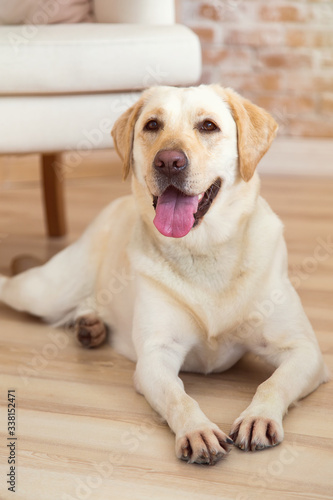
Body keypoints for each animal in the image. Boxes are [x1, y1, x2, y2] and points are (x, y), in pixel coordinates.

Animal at [0, 86, 326, 464]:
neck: (205, 251)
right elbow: (178, 396)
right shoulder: (156, 357)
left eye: (208, 125)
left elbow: (273, 382)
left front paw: (258, 417)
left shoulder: (304, 350)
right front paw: (197, 431)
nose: (169, 161)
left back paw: (90, 326)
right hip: (44, 292)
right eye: (152, 125)